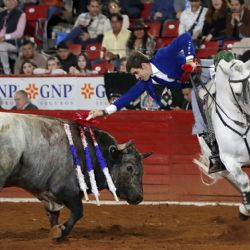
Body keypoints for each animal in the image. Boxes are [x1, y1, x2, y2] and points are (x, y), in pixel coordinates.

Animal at [0, 113, 152, 238]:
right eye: (129, 168)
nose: (139, 197)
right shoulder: (65, 190)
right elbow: (79, 211)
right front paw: (60, 232)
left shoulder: (50, 195)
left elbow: (53, 216)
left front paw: (54, 231)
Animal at [196, 59, 250, 219]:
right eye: (237, 93)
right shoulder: (229, 160)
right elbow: (244, 182)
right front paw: (245, 209)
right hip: (222, 166)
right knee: (236, 181)